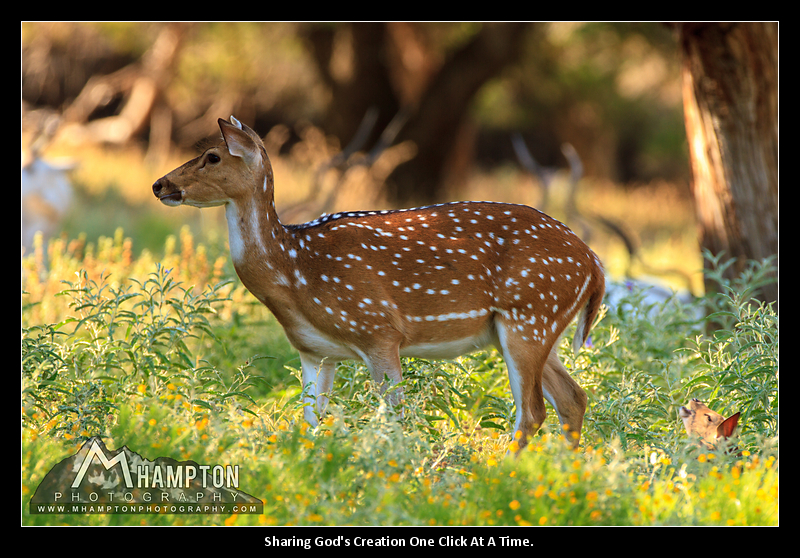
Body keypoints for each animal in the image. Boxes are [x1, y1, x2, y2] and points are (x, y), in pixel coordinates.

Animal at [150, 116, 604, 452]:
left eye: (212, 156)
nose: (159, 184)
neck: (296, 272)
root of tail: (595, 263)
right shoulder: (314, 351)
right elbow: (311, 421)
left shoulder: (379, 331)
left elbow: (396, 418)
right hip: (536, 328)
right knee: (573, 398)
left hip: (529, 316)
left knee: (532, 411)